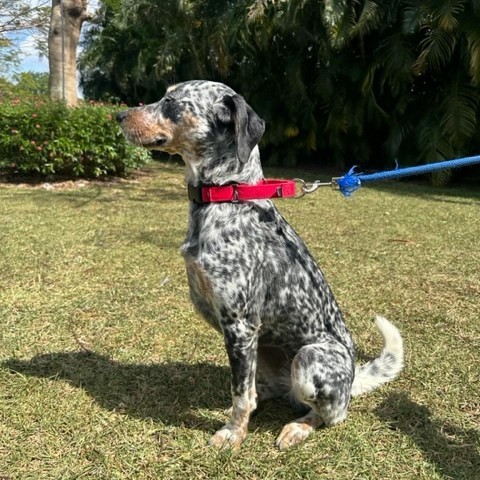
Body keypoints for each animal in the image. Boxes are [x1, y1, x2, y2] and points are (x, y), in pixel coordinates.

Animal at [117, 79, 404, 450]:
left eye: (172, 102)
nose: (118, 115)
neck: (228, 194)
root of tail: (352, 380)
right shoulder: (229, 323)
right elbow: (244, 390)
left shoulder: (240, 325)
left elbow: (241, 394)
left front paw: (233, 435)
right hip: (267, 348)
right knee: (267, 391)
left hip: (308, 358)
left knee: (331, 414)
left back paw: (298, 427)